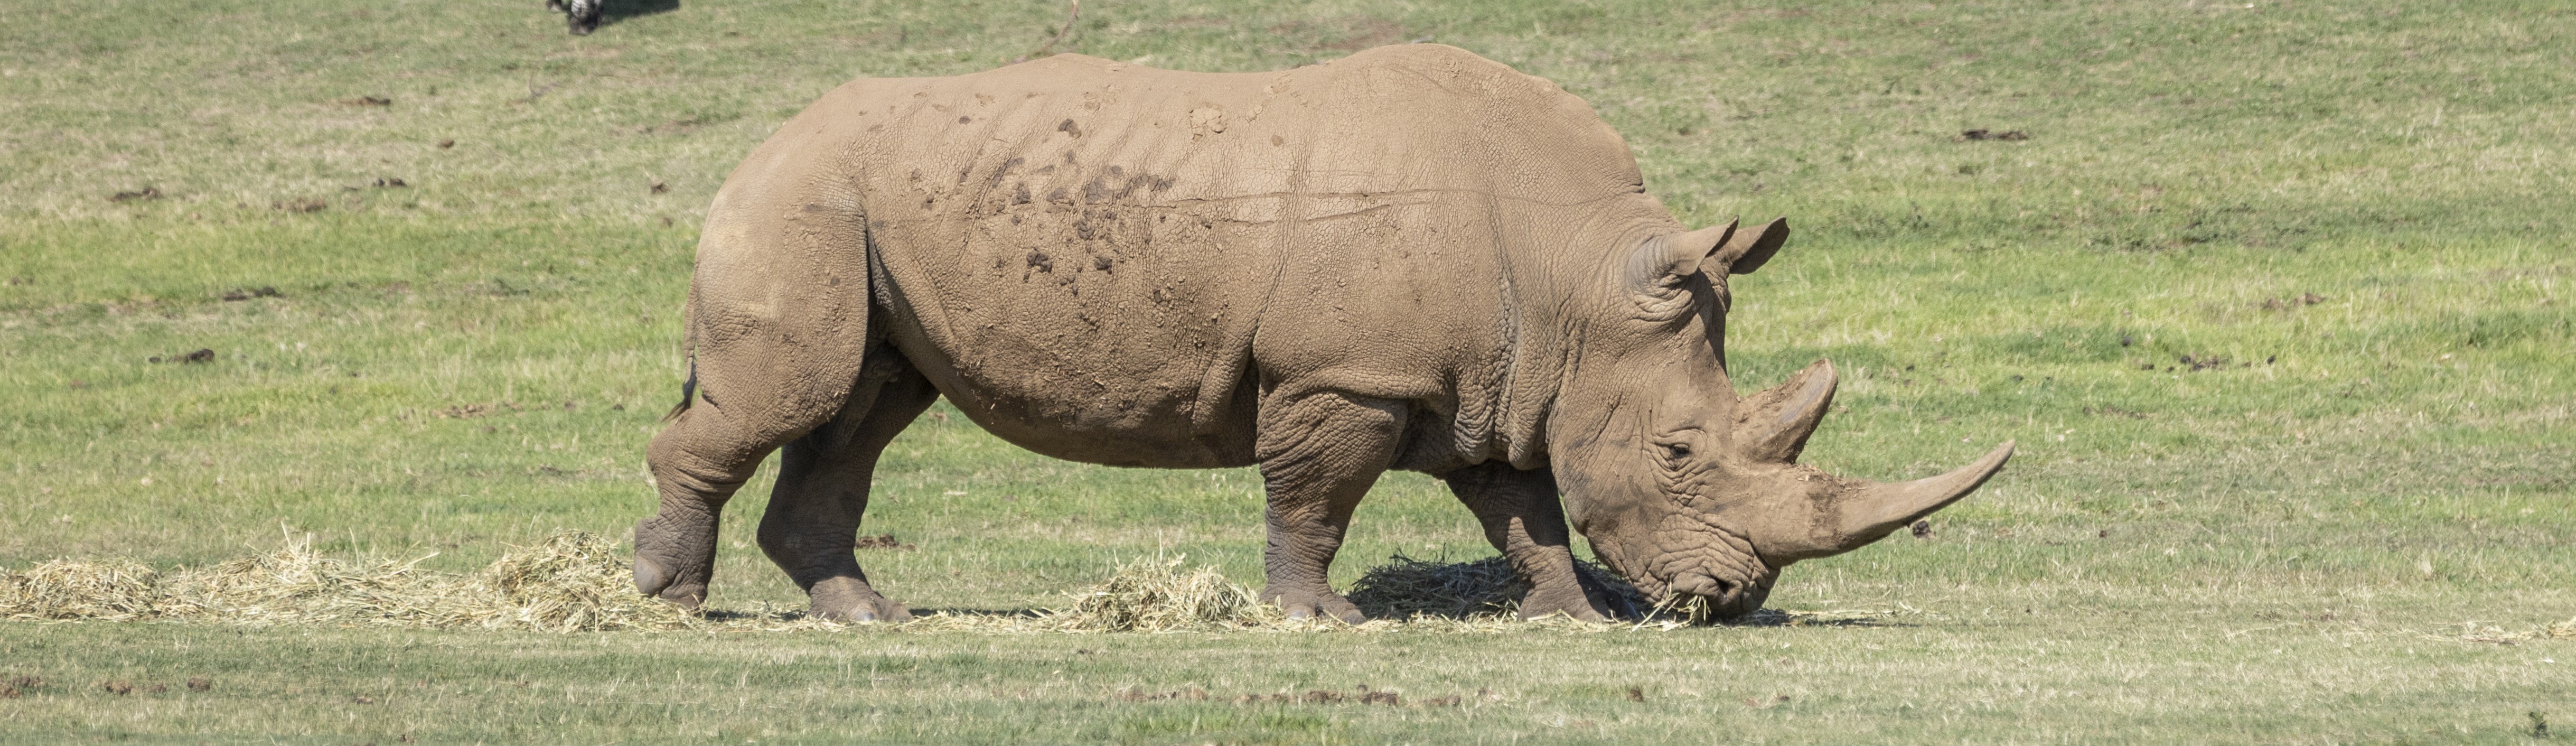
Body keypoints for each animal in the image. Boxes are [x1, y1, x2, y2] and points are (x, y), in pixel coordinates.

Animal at [632, 44, 2012, 623]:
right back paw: (667, 599)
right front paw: (1318, 620)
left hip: (861, 210)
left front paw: (1570, 616)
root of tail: (759, 143)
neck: (1576, 280)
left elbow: (1523, 506)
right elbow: (1314, 498)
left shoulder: (1499, 374)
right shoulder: (1344, 374)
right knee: (798, 401)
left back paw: (865, 617)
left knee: (861, 410)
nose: (1725, 599)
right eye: (1679, 453)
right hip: (804, 201)